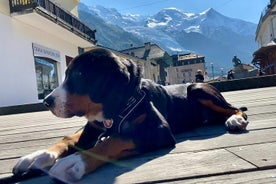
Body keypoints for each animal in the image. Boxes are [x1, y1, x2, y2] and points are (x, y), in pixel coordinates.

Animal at [11, 47, 249, 183]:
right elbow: (68, 138)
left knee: (235, 108)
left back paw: (235, 119)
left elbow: (113, 140)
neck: (116, 109)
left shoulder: (158, 130)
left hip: (197, 89)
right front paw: (38, 156)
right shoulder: (93, 127)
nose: (47, 101)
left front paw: (72, 163)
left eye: (79, 74)